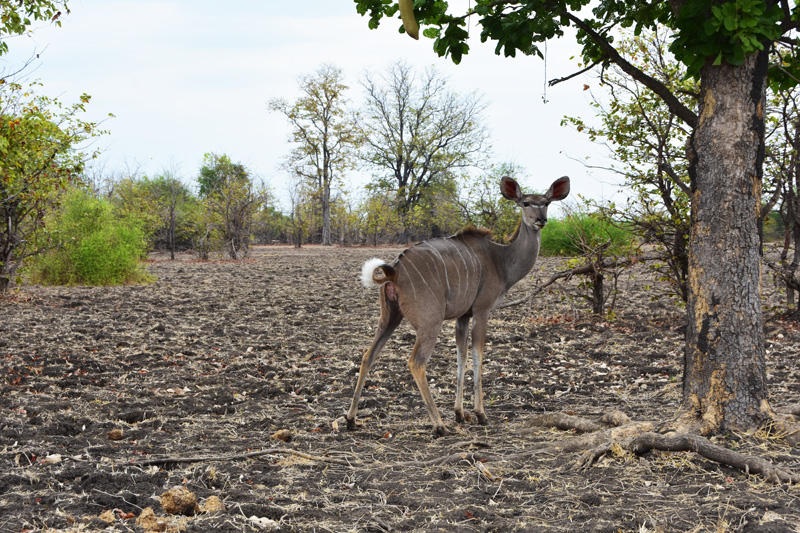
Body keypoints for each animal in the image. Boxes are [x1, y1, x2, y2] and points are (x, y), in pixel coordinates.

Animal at [346, 177, 568, 434]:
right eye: (526, 203)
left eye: (547, 203)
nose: (540, 220)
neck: (502, 259)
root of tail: (394, 270)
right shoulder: (481, 310)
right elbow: (478, 354)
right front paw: (480, 414)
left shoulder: (463, 315)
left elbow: (461, 354)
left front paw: (460, 413)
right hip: (430, 322)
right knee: (416, 362)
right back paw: (439, 425)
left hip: (389, 317)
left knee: (367, 356)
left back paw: (350, 419)